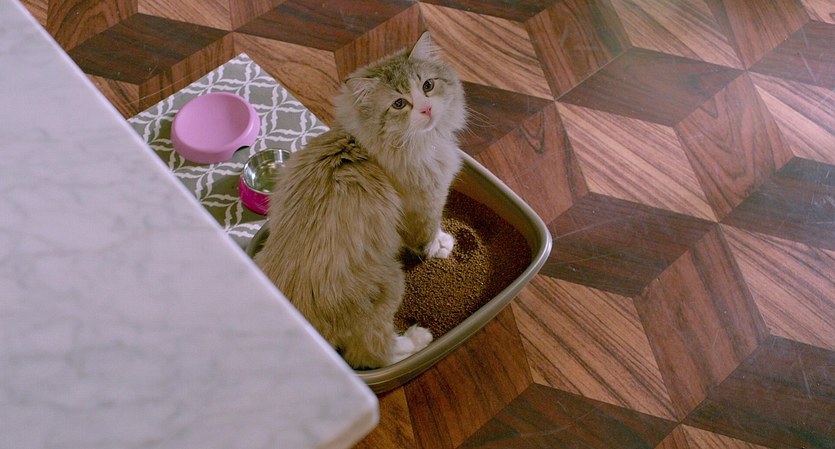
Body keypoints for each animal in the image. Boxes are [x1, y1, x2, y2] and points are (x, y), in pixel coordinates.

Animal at [254, 32, 467, 369]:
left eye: (428, 86)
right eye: (399, 103)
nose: (426, 110)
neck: (362, 144)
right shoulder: (425, 202)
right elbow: (428, 234)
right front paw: (443, 246)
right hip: (389, 282)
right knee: (374, 352)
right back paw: (417, 340)